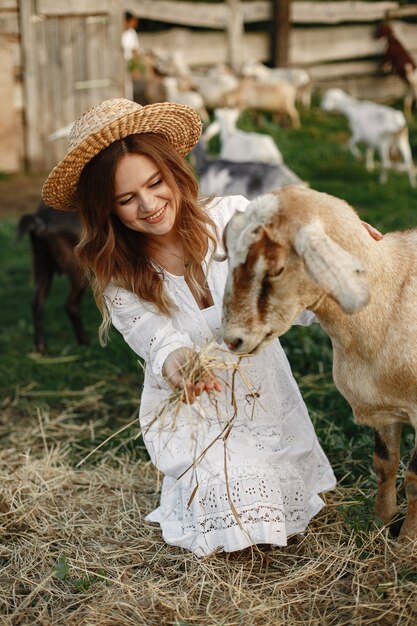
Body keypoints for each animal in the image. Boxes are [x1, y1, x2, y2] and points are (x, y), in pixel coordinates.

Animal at [17, 202, 88, 354]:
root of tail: (42, 220)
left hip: (43, 264)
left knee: (37, 303)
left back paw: (41, 347)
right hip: (78, 272)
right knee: (71, 305)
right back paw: (85, 342)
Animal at [223, 183, 417, 540]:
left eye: (276, 269)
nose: (233, 339)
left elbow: (413, 479)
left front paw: (407, 541)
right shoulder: (383, 409)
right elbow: (384, 464)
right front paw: (380, 521)